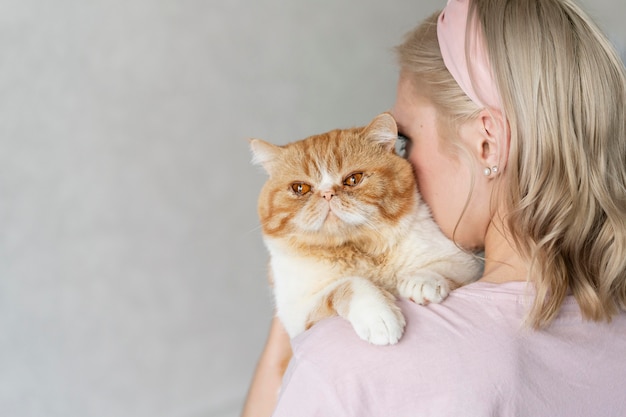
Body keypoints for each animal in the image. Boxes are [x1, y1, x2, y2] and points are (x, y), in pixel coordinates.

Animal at [249, 113, 478, 344]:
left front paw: (421, 281)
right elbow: (348, 284)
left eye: (353, 179)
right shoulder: (297, 315)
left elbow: (442, 268)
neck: (359, 249)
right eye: (300, 188)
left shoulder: (464, 263)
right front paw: (378, 315)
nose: (327, 194)